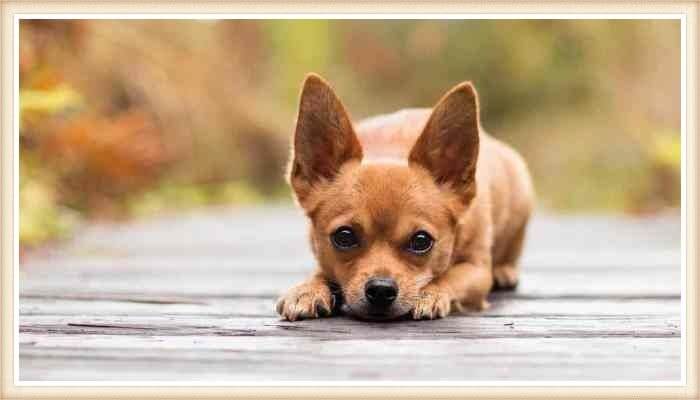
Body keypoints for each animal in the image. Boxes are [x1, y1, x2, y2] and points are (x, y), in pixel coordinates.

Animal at [276, 73, 532, 320]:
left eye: (421, 241)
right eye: (344, 236)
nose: (380, 289)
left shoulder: (476, 270)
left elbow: (448, 277)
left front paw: (430, 294)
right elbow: (321, 271)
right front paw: (308, 290)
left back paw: (504, 271)